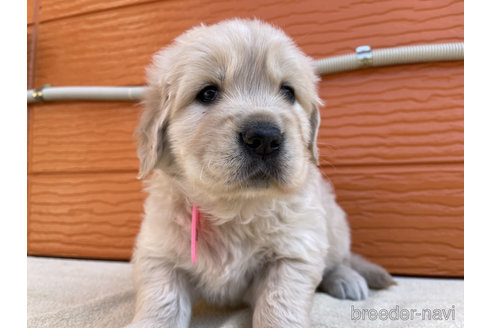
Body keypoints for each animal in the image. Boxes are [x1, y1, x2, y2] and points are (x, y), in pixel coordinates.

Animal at [129, 18, 394, 328]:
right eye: (208, 93)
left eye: (288, 92)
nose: (265, 137)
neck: (234, 209)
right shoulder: (159, 255)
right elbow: (162, 304)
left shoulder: (294, 252)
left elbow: (279, 307)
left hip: (335, 226)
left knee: (339, 259)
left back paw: (347, 279)